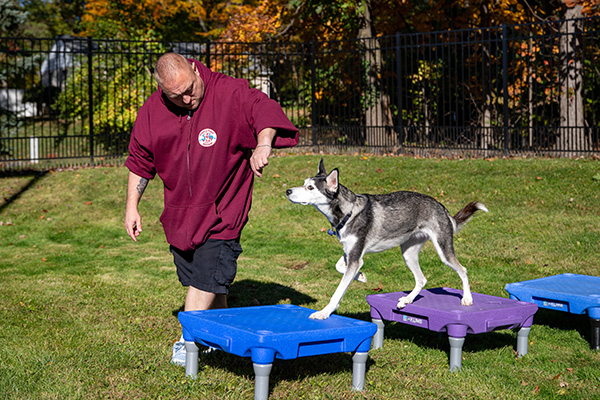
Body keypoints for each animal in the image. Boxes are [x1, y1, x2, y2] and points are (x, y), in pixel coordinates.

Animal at [286, 159, 488, 318]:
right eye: (304, 183)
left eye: (310, 187)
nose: (288, 191)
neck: (349, 211)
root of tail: (441, 206)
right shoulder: (350, 253)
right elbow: (340, 267)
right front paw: (361, 276)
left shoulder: (354, 257)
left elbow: (338, 290)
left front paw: (324, 312)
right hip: (408, 254)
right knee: (421, 279)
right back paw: (407, 299)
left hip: (443, 250)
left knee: (463, 270)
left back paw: (467, 298)